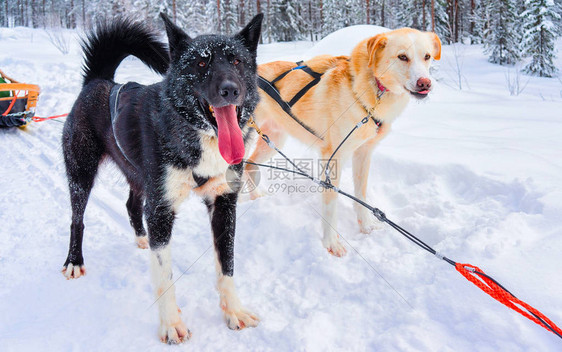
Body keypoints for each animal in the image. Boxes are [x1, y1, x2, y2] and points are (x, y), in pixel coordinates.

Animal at [61, 14, 262, 344]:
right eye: (201, 63)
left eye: (237, 61)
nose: (231, 89)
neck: (197, 138)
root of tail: (98, 82)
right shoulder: (160, 211)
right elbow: (164, 275)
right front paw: (171, 324)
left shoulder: (224, 203)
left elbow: (227, 264)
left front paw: (234, 311)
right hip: (82, 172)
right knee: (77, 219)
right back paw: (75, 261)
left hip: (140, 177)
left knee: (131, 205)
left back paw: (141, 238)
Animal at [247, 28, 440, 256]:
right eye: (402, 56)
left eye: (427, 56)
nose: (425, 83)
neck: (365, 92)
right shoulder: (333, 158)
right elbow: (331, 204)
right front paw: (331, 243)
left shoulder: (363, 153)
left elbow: (361, 195)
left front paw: (366, 225)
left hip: (273, 139)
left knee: (249, 165)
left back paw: (255, 196)